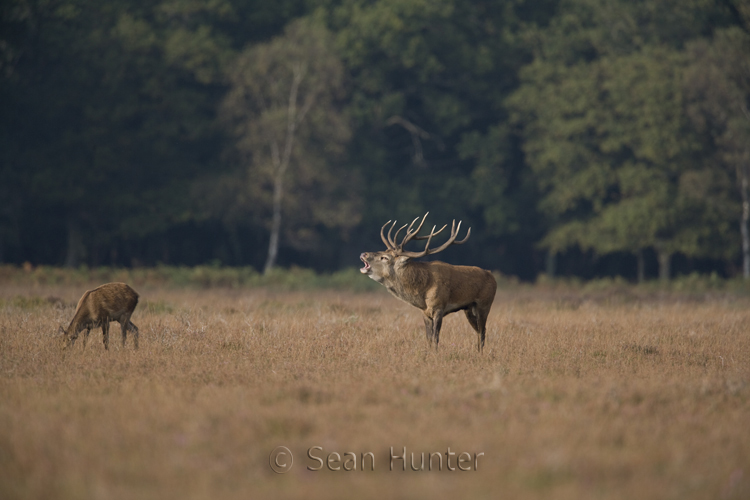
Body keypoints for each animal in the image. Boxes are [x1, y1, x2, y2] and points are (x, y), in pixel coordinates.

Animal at [360, 213, 497, 352]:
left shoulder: (439, 307)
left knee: (482, 331)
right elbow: (429, 339)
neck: (422, 293)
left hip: (484, 304)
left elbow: (435, 338)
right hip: (469, 309)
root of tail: (492, 276)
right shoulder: (425, 312)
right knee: (479, 331)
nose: (363, 253)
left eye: (384, 258)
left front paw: (435, 354)